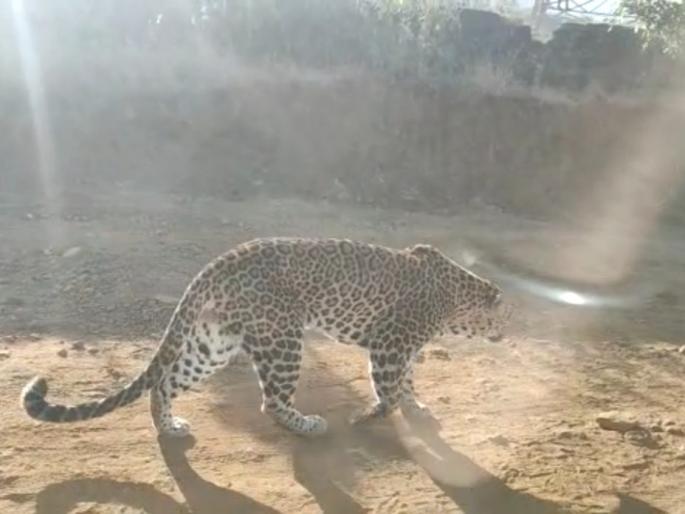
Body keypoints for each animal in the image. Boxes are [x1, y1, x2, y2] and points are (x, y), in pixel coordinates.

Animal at [21, 238, 508, 438]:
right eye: (505, 319)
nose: (508, 334)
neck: (457, 298)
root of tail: (219, 262)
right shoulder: (391, 345)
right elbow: (389, 390)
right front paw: (368, 417)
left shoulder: (404, 349)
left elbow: (406, 384)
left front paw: (416, 408)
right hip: (283, 338)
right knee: (271, 402)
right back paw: (308, 425)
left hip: (213, 342)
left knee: (164, 382)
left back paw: (170, 427)